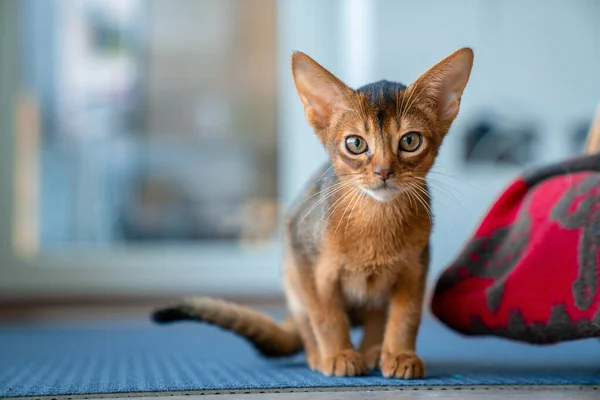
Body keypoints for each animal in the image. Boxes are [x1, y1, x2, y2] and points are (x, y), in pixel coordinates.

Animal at [154, 47, 474, 378]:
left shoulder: (416, 266)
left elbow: (406, 316)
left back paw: (373, 351)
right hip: (291, 277)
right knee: (307, 325)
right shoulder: (307, 260)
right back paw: (320, 356)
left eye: (410, 141)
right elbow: (325, 317)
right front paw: (338, 354)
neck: (375, 219)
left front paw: (400, 355)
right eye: (355, 143)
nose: (383, 171)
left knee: (375, 317)